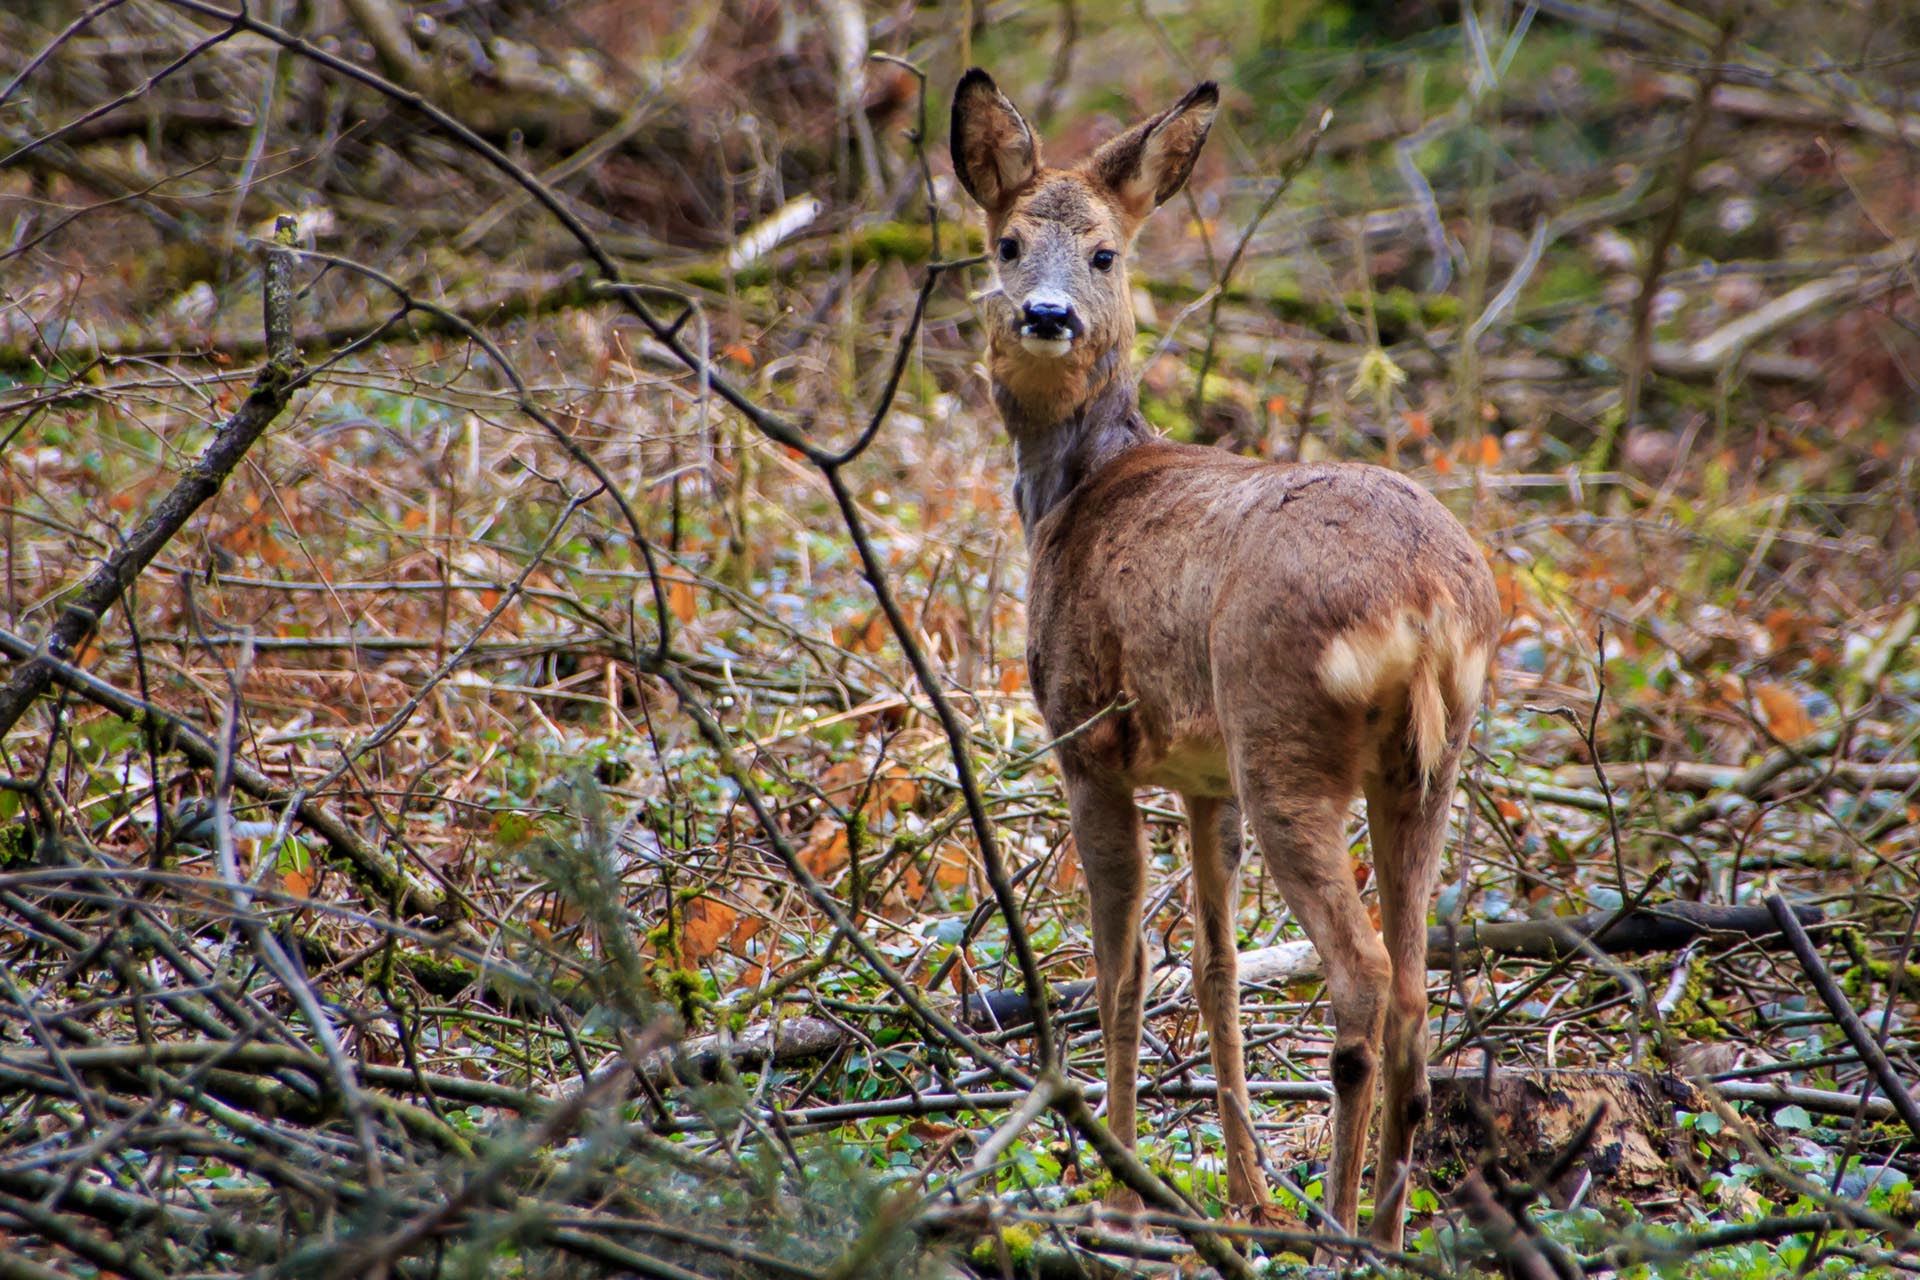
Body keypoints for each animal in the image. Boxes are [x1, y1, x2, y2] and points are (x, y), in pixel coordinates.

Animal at [949, 69, 1500, 1250]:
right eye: (1008, 242)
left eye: (1105, 252)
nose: (1047, 316)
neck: (1066, 497)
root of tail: (1431, 602)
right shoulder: (1203, 782)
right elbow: (1212, 967)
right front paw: (1242, 1193)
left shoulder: (1087, 738)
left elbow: (1121, 969)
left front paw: (1120, 1190)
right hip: (1425, 765)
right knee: (1414, 978)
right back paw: (1384, 1226)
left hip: (1282, 733)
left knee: (1363, 972)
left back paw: (1335, 1218)